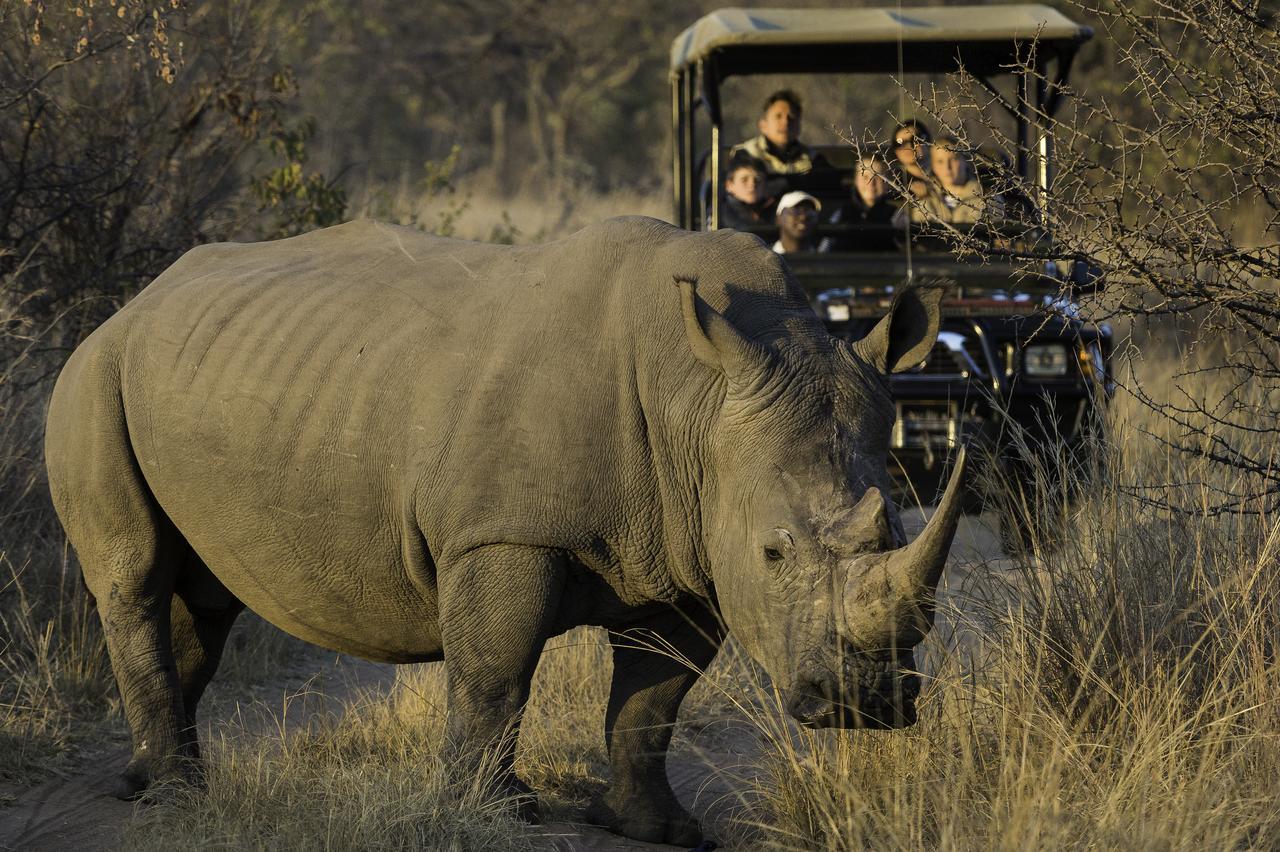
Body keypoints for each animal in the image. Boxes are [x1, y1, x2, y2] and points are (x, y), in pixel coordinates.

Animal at [45, 216, 962, 839]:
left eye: (896, 526)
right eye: (775, 552)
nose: (867, 703)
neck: (698, 401)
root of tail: (133, 303)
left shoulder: (694, 554)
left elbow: (652, 701)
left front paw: (656, 829)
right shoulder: (504, 534)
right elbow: (496, 675)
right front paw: (488, 812)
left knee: (202, 599)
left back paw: (146, 780)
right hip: (93, 376)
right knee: (133, 574)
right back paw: (176, 794)